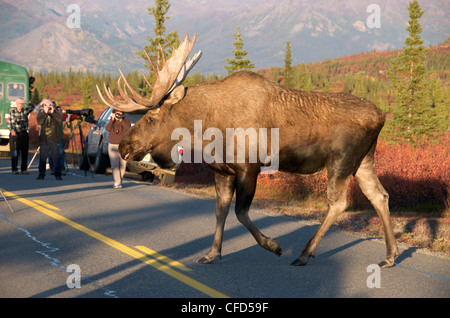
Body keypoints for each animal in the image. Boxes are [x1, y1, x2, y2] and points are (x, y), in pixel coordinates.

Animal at [96, 34, 400, 268]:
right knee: (379, 195)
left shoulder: (249, 167)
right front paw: (211, 254)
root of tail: (382, 116)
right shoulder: (221, 171)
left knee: (338, 203)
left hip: (340, 161)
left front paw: (273, 245)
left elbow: (241, 212)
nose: (124, 146)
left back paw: (304, 254)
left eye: (151, 117)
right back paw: (390, 255)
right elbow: (220, 211)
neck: (207, 130)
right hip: (363, 160)